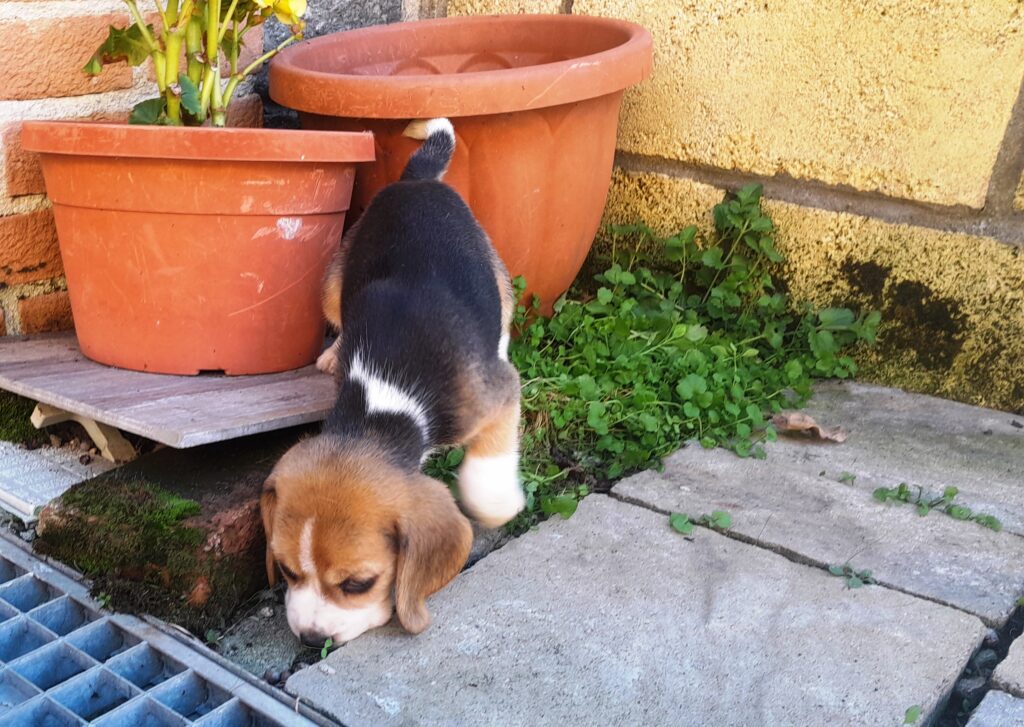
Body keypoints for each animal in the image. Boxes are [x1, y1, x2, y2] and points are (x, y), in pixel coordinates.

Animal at [260, 119, 524, 651]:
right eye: (286, 571)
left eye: (358, 584)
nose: (310, 639)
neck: (382, 402)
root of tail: (416, 181)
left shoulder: (496, 394)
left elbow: (490, 458)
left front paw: (495, 500)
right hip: (333, 283)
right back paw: (331, 353)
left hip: (497, 280)